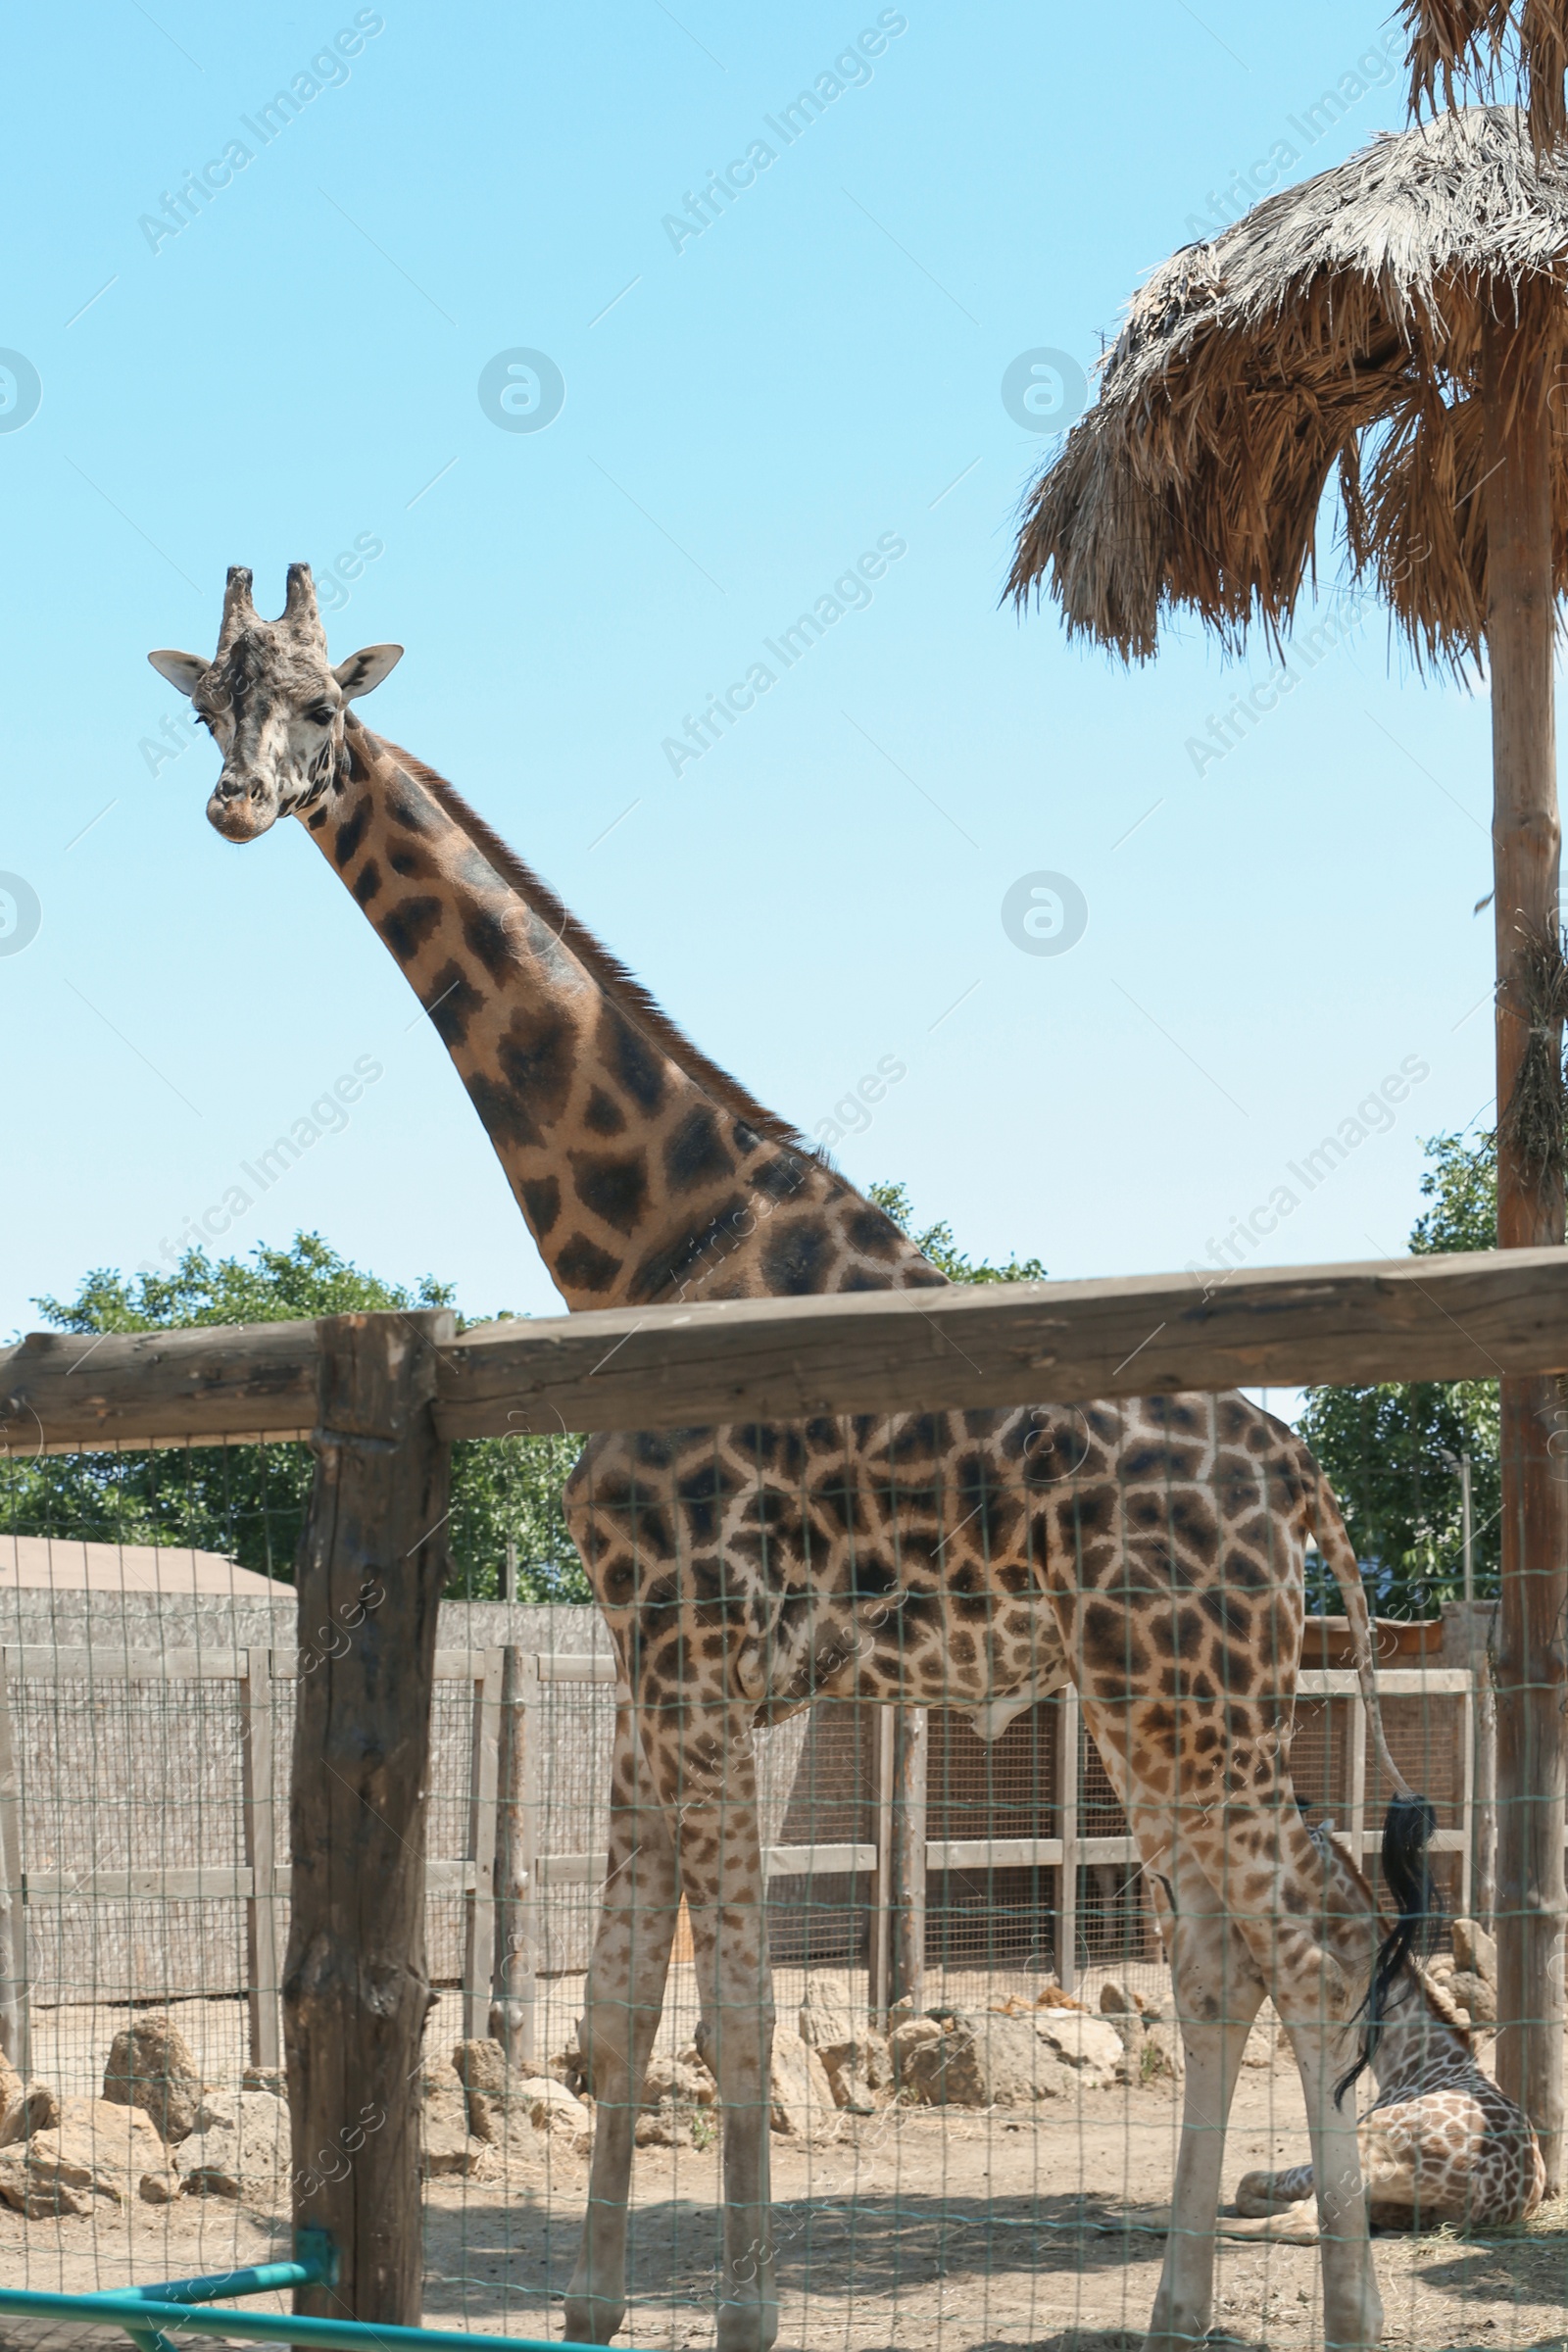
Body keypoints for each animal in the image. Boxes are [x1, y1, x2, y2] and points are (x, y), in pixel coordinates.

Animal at [152, 568, 1439, 2352]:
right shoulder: (653, 1668)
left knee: (1316, 1947)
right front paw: (593, 2311)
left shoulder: (700, 1652)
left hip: (1198, 1703)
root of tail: (1296, 1477)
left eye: (324, 706)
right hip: (1149, 1710)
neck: (648, 1251)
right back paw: (1178, 2306)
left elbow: (741, 2019)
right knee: (1221, 1960)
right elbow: (621, 2010)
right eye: (210, 705)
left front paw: (748, 2314)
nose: (234, 802)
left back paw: (1349, 2316)